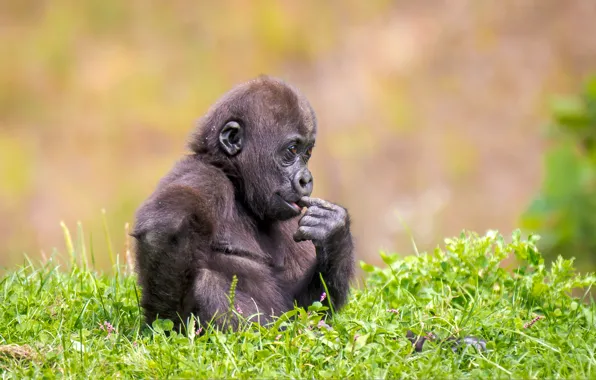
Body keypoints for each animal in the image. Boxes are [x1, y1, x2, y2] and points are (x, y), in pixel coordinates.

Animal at [132, 75, 354, 332]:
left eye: (307, 153)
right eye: (292, 150)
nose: (306, 179)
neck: (237, 184)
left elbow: (306, 304)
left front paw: (333, 231)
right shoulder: (205, 177)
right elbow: (163, 230)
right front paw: (172, 324)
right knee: (205, 281)